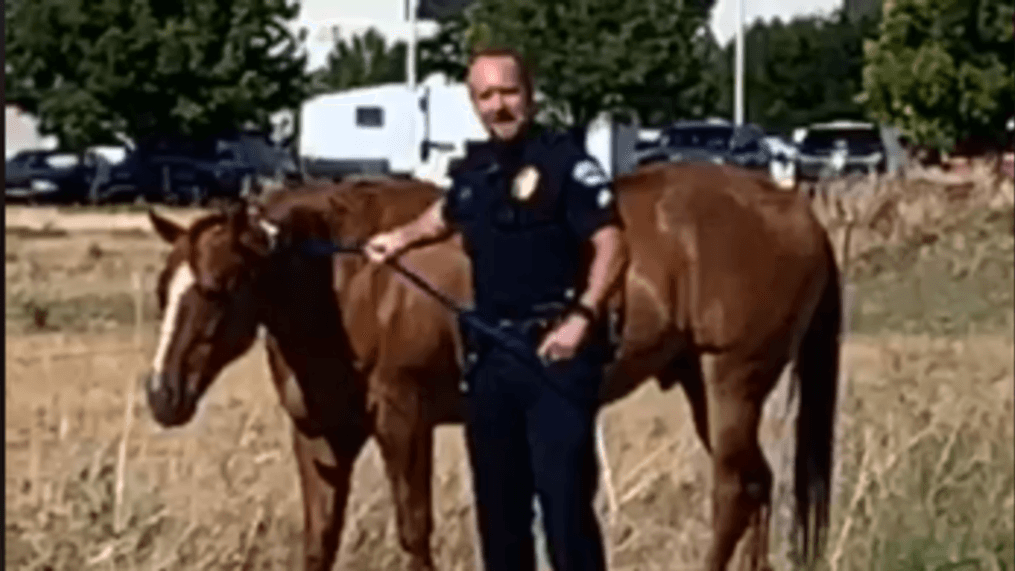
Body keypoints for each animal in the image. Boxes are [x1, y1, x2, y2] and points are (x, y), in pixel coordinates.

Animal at [143, 162, 840, 571]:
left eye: (217, 289)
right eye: (162, 290)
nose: (162, 393)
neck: (351, 281)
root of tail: (794, 208)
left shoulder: (403, 420)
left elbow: (413, 529)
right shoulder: (320, 434)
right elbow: (319, 541)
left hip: (732, 380)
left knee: (733, 490)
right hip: (703, 383)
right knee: (759, 484)